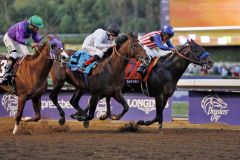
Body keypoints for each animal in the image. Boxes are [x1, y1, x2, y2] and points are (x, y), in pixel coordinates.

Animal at [83, 39, 213, 128]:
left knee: (103, 99)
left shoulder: (166, 96)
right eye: (197, 50)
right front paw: (141, 122)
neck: (167, 70)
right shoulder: (158, 95)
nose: (210, 62)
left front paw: (148, 124)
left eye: (202, 47)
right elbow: (158, 116)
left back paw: (98, 116)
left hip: (115, 89)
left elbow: (158, 116)